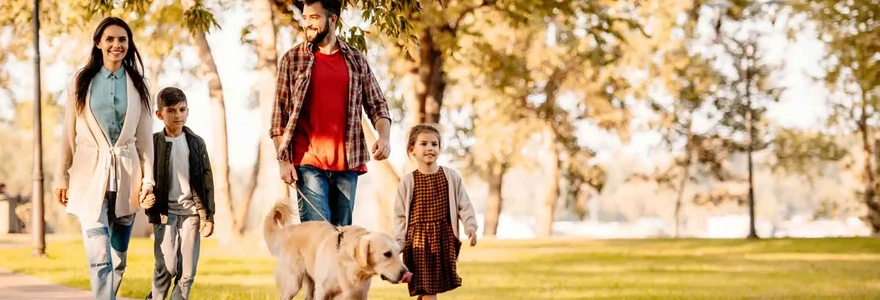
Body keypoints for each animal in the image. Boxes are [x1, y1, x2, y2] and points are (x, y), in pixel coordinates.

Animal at [262, 202, 414, 300]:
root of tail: (292, 229)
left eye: (398, 253)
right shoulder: (322, 291)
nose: (407, 273)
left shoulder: (359, 295)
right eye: (387, 254)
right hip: (293, 282)